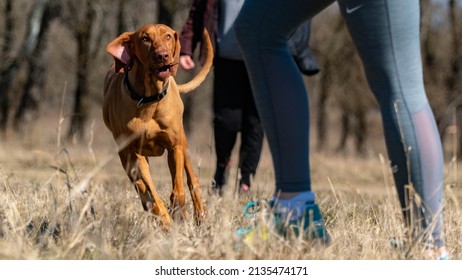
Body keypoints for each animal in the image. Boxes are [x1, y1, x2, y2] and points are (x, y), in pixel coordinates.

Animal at [103, 24, 213, 230]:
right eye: (145, 38)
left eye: (168, 36)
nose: (162, 55)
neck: (149, 98)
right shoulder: (134, 154)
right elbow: (151, 194)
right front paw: (165, 219)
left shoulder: (174, 147)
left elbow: (178, 190)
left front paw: (178, 212)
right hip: (127, 156)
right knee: (141, 187)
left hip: (183, 143)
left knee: (192, 178)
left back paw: (199, 215)